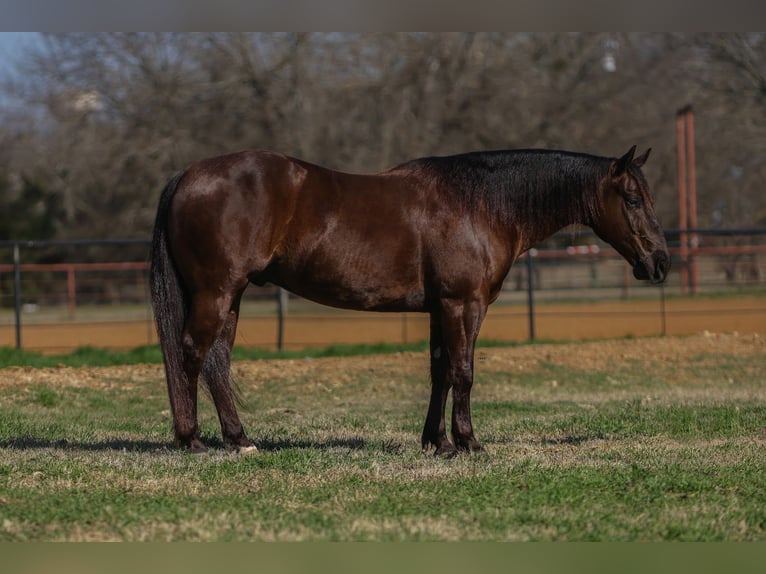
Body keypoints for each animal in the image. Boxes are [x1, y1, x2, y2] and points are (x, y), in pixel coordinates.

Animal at [150, 145, 669, 457]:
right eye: (632, 199)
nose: (661, 263)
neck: (480, 203)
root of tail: (187, 175)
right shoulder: (464, 304)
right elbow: (464, 372)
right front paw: (468, 442)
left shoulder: (441, 308)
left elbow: (440, 371)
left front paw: (436, 442)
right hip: (217, 293)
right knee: (193, 354)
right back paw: (193, 441)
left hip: (231, 295)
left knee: (218, 361)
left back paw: (238, 439)